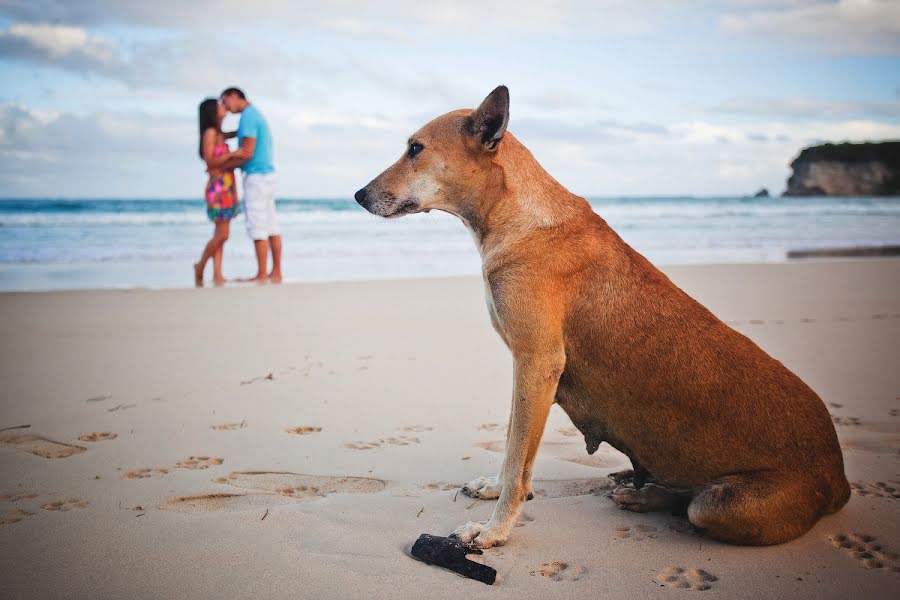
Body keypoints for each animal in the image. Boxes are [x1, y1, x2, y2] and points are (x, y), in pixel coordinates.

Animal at [354, 85, 852, 548]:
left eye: (415, 148)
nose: (358, 196)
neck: (516, 216)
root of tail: (840, 478)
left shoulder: (537, 362)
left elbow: (518, 462)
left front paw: (495, 532)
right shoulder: (527, 369)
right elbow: (512, 444)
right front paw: (493, 492)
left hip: (725, 505)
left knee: (695, 504)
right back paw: (643, 492)